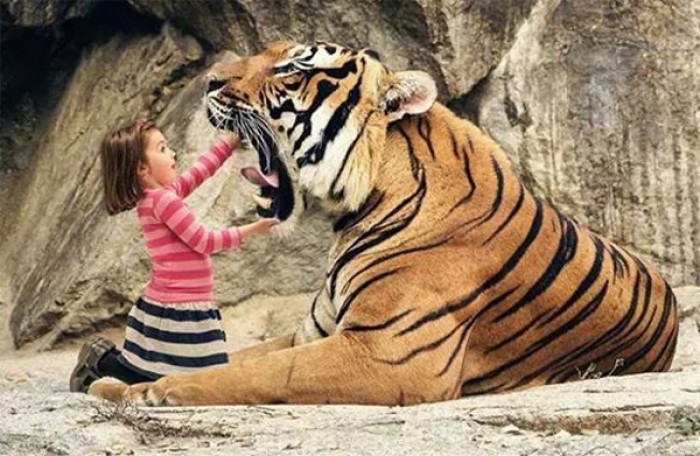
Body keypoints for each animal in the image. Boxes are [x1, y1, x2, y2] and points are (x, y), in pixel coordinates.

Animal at [90, 41, 679, 406]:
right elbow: (232, 357)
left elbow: (251, 371)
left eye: (290, 69)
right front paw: (112, 384)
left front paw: (146, 391)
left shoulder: (389, 352)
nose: (210, 82)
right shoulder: (313, 331)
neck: (356, 209)